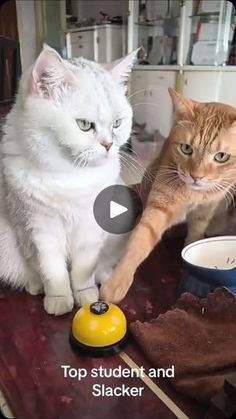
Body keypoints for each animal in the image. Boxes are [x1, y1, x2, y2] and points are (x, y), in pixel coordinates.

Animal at [0, 46, 136, 316]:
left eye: (117, 123)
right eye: (84, 125)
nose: (109, 145)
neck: (69, 175)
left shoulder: (91, 226)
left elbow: (84, 267)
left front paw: (86, 295)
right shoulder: (39, 228)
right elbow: (52, 270)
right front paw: (59, 298)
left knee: (105, 265)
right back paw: (34, 286)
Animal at [100, 89, 236, 306]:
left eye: (221, 156)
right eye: (186, 149)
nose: (196, 176)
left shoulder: (205, 211)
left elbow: (196, 234)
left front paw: (189, 252)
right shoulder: (158, 208)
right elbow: (138, 243)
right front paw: (118, 281)